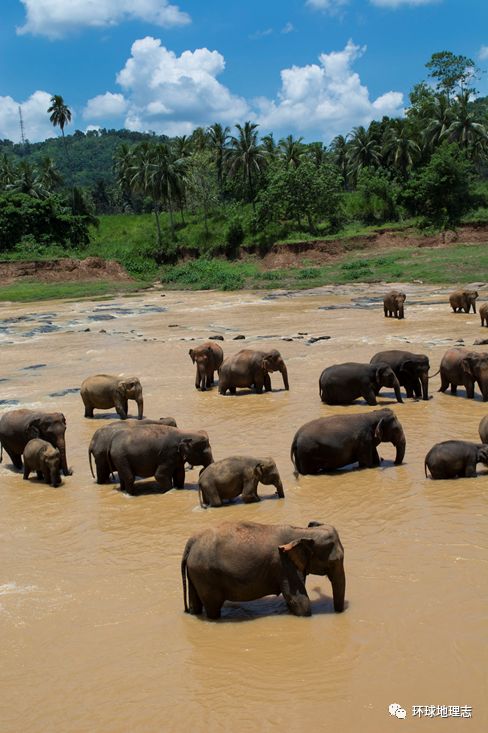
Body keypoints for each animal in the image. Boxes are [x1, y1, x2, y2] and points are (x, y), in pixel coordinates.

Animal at [181, 516, 346, 620]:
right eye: (335, 561)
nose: (338, 613)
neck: (303, 532)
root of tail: (191, 542)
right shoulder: (283, 564)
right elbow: (298, 600)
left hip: (196, 573)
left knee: (196, 603)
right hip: (205, 575)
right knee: (213, 607)